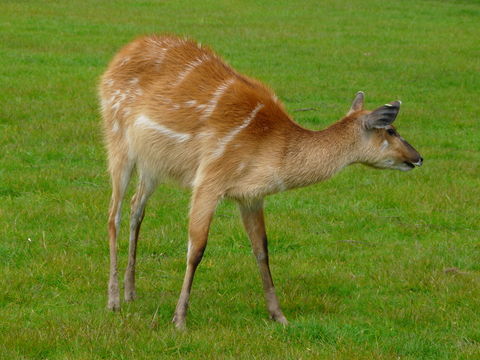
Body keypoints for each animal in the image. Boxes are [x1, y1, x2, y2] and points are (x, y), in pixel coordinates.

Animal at [99, 34, 422, 330]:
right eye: (391, 130)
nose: (418, 157)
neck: (269, 152)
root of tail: (114, 61)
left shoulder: (251, 195)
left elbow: (262, 249)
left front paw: (279, 316)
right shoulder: (209, 178)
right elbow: (197, 248)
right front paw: (179, 320)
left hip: (152, 164)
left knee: (136, 208)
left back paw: (131, 292)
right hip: (117, 140)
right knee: (113, 214)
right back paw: (113, 301)